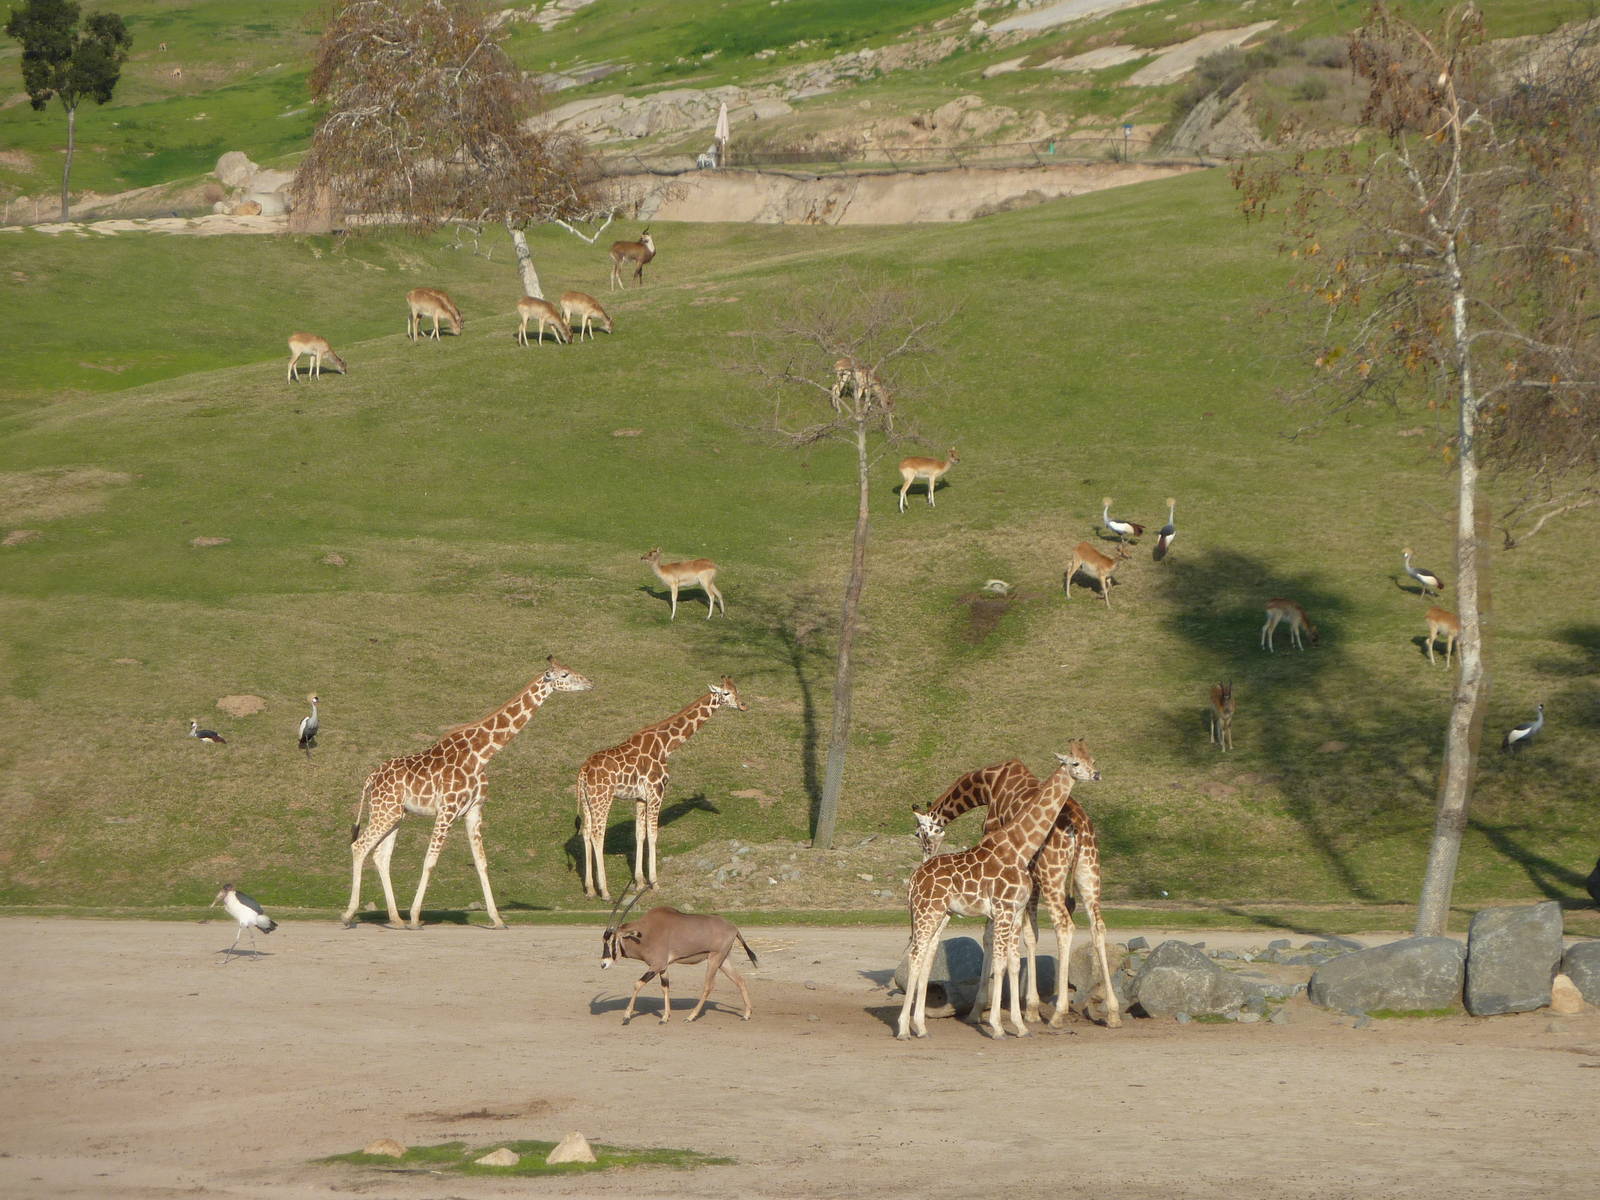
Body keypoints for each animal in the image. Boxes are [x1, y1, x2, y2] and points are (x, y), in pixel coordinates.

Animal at [342, 657, 593, 929]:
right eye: (564, 675)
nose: (590, 682)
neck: (482, 754)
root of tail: (370, 778)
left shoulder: (474, 810)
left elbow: (482, 862)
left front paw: (497, 919)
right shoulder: (447, 809)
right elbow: (430, 861)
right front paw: (416, 917)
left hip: (396, 813)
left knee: (380, 855)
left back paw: (396, 918)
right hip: (385, 810)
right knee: (359, 846)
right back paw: (349, 915)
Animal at [578, 677, 748, 900]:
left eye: (737, 690)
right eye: (726, 693)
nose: (744, 705)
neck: (666, 746)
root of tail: (582, 772)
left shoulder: (641, 797)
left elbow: (639, 834)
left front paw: (639, 882)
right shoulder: (656, 790)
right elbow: (653, 834)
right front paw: (654, 883)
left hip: (587, 800)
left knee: (586, 833)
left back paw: (590, 889)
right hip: (602, 798)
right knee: (598, 835)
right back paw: (605, 891)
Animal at [897, 743, 1100, 1040]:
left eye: (1091, 760)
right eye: (1075, 763)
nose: (1096, 774)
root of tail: (914, 879)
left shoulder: (1012, 910)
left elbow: (1010, 960)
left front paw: (1015, 1023)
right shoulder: (1004, 909)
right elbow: (1002, 957)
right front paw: (998, 1023)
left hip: (939, 914)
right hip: (929, 912)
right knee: (916, 954)